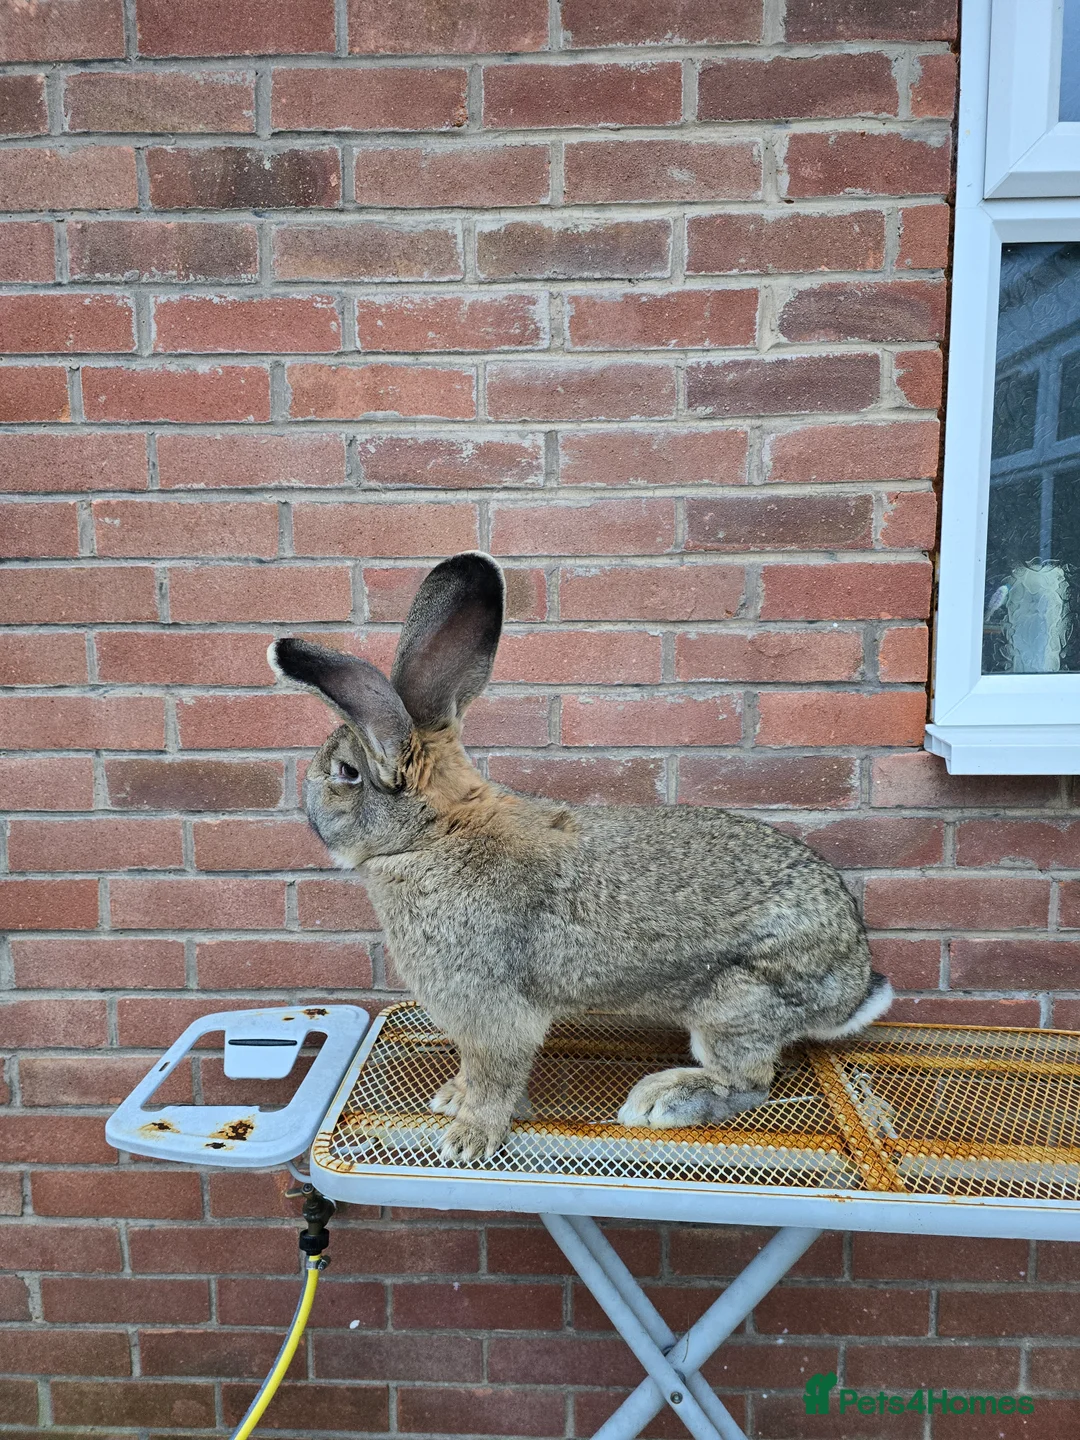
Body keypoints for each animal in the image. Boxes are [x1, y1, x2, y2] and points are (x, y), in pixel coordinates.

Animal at [269, 551, 893, 1164]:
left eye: (346, 773)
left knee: (749, 1082)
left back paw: (664, 1100)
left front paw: (468, 1138)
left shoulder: (490, 1012)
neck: (436, 833)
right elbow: (473, 1069)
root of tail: (853, 982)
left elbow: (494, 1074)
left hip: (734, 1005)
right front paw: (451, 1098)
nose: (305, 806)